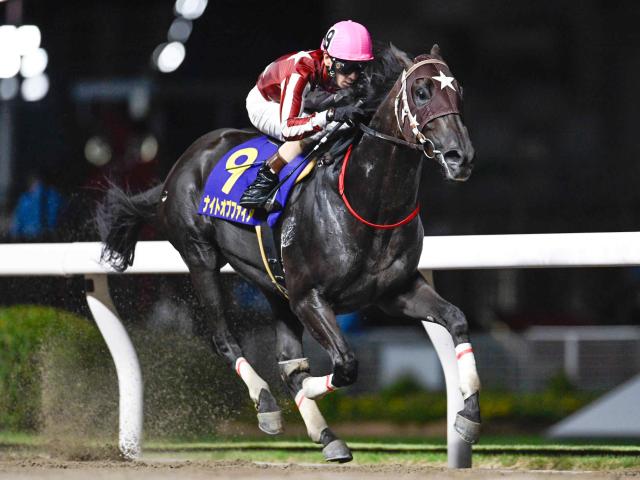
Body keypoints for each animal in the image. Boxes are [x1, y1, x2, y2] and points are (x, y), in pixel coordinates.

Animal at [97, 43, 480, 463]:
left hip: (272, 283)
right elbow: (344, 365)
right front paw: (303, 392)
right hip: (201, 257)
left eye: (459, 90)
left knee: (286, 355)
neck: (368, 200)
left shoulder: (395, 292)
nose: (460, 156)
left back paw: (326, 435)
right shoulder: (309, 297)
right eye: (422, 91)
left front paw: (469, 415)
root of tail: (177, 169)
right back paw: (266, 404)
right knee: (224, 339)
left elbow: (457, 320)